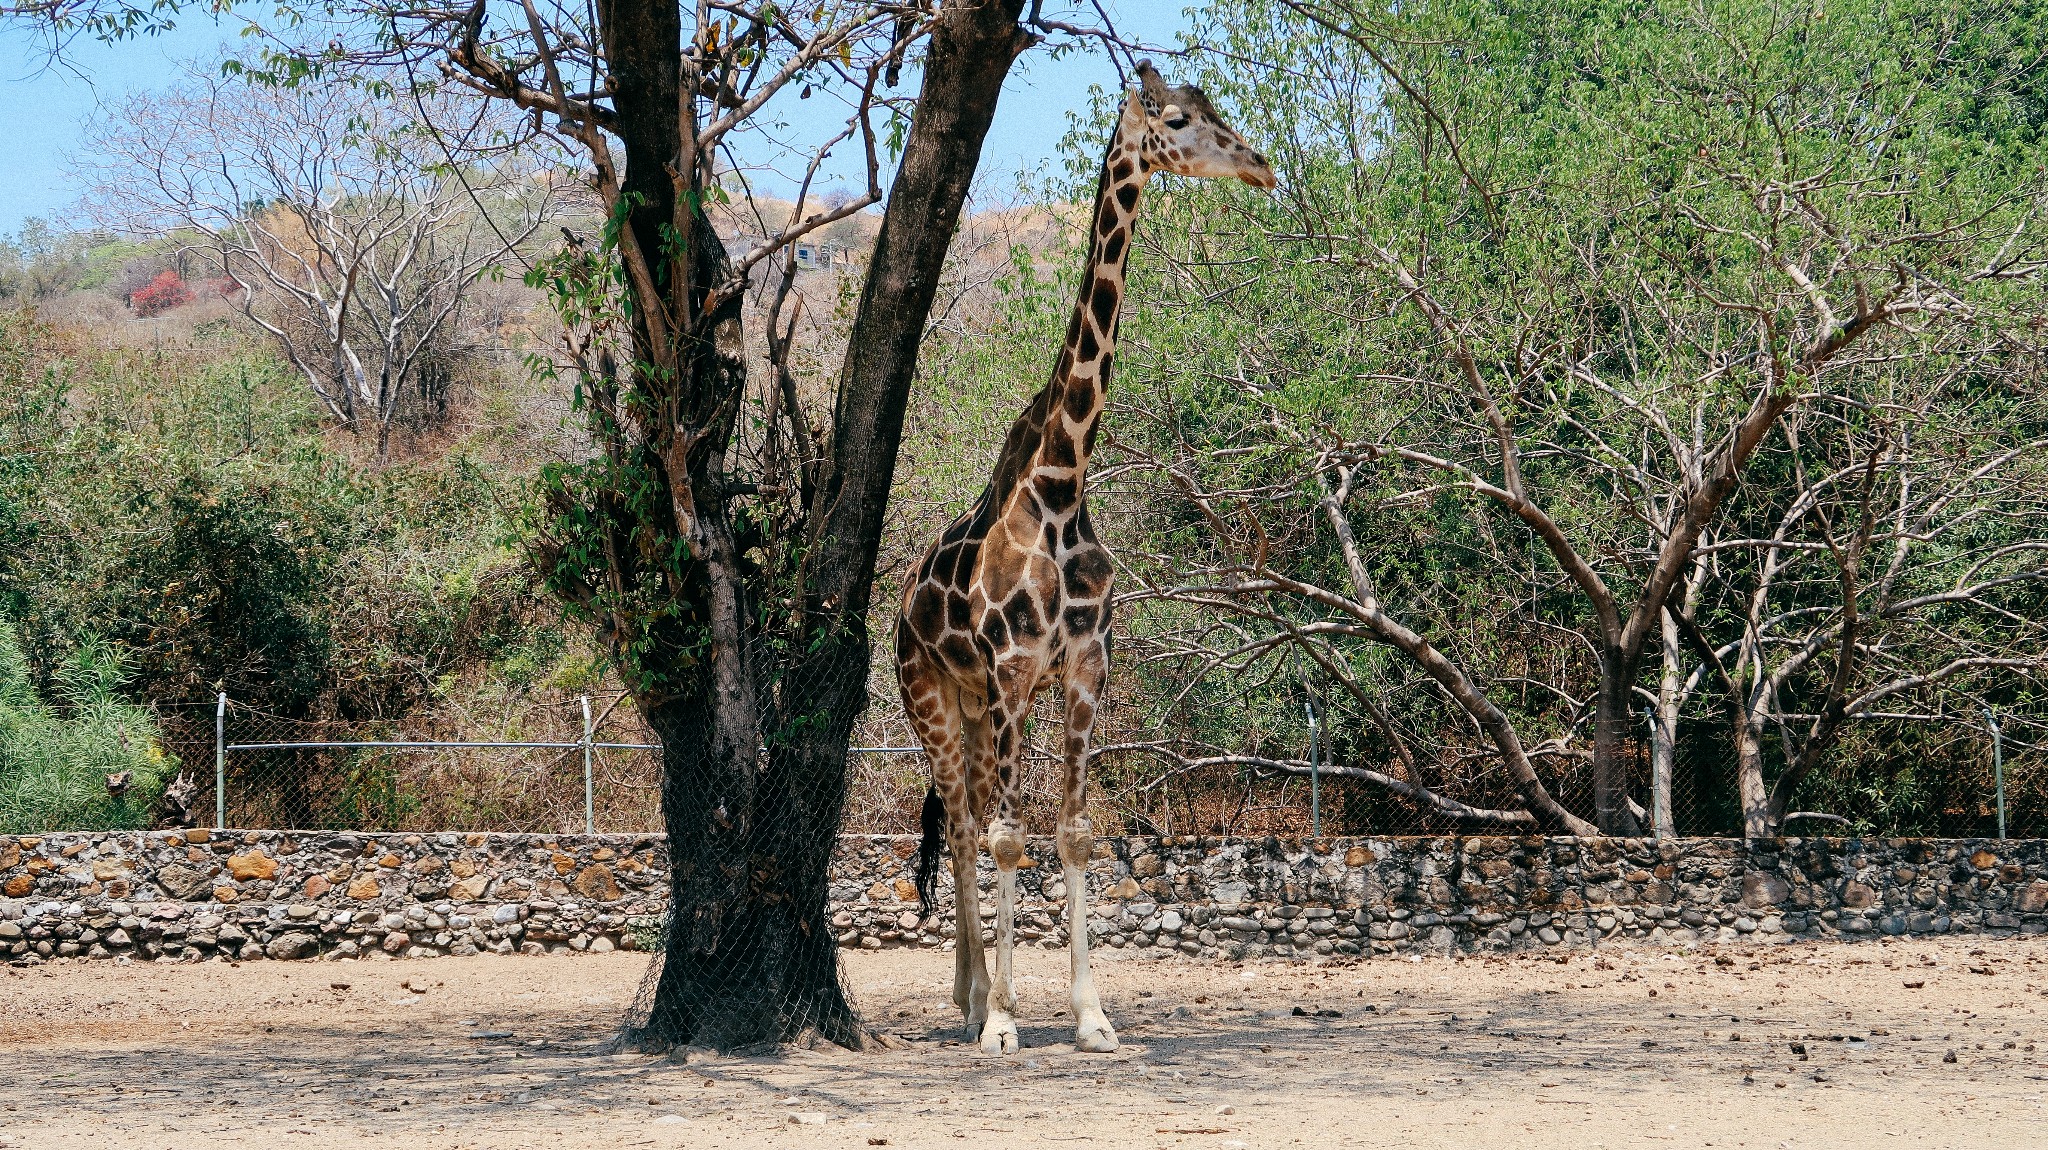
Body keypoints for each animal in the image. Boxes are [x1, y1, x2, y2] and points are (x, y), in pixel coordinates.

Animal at [892, 60, 1269, 1047]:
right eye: (1175, 119)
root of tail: (897, 608)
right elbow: (1008, 836)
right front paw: (1004, 1023)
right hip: (933, 699)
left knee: (970, 819)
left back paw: (976, 988)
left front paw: (1089, 1014)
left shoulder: (1084, 665)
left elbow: (1070, 833)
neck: (1061, 483)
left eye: (1212, 110)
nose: (1259, 166)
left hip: (984, 706)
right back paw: (971, 999)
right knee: (962, 822)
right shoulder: (1015, 665)